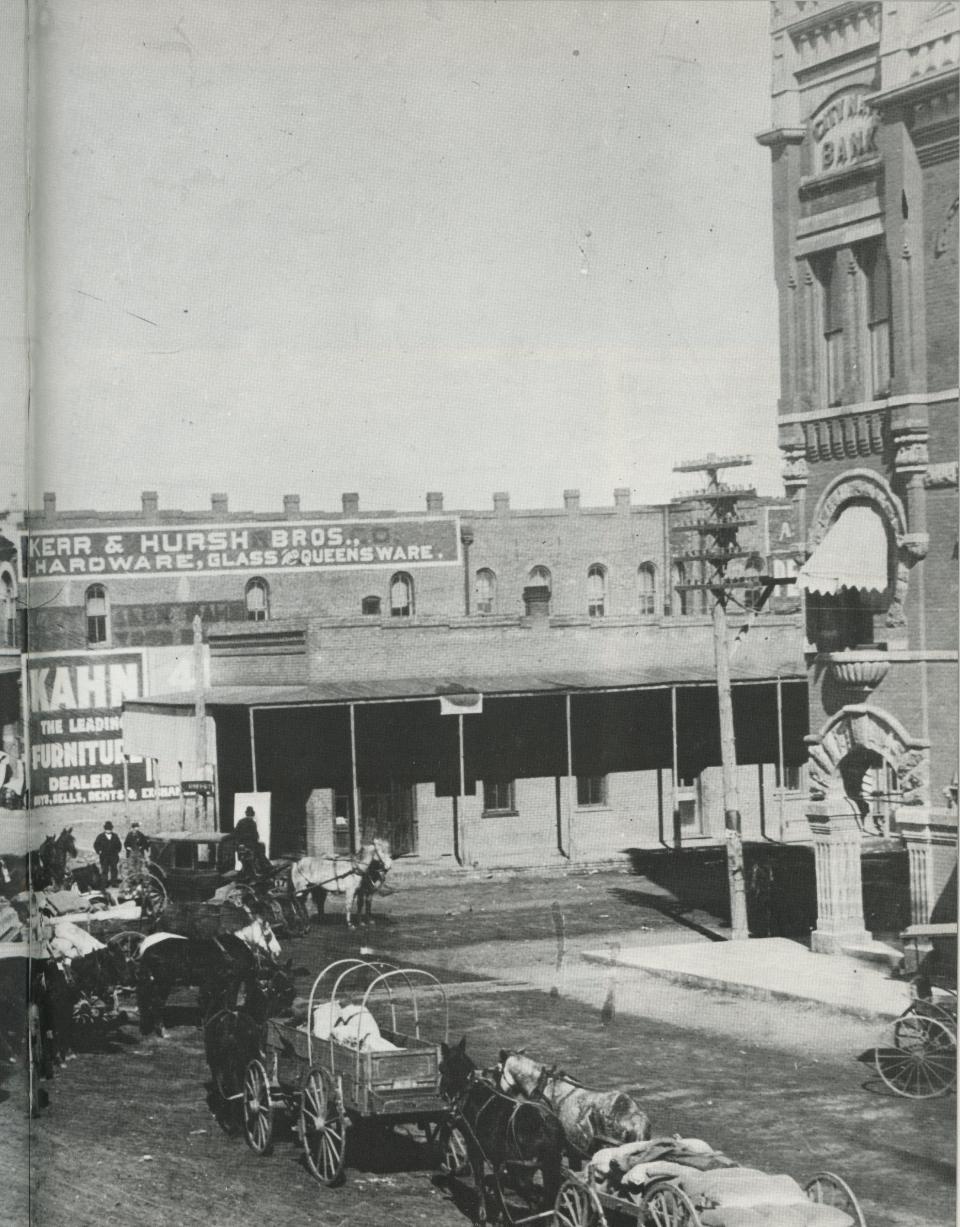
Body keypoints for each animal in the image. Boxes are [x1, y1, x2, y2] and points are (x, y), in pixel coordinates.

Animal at [137, 917, 283, 1040]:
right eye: (269, 935)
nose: (278, 952)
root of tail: (147, 949)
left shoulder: (220, 983)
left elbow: (216, 1003)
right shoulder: (233, 981)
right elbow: (229, 1004)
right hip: (164, 983)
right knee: (156, 1003)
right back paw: (163, 1032)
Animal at [441, 1035, 567, 1227]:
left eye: (441, 1067)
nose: (441, 1092)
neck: (474, 1094)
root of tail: (547, 1126)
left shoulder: (475, 1149)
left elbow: (480, 1183)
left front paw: (482, 1217)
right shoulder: (497, 1159)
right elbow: (496, 1186)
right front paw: (499, 1217)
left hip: (522, 1172)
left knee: (538, 1200)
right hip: (547, 1168)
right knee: (546, 1201)